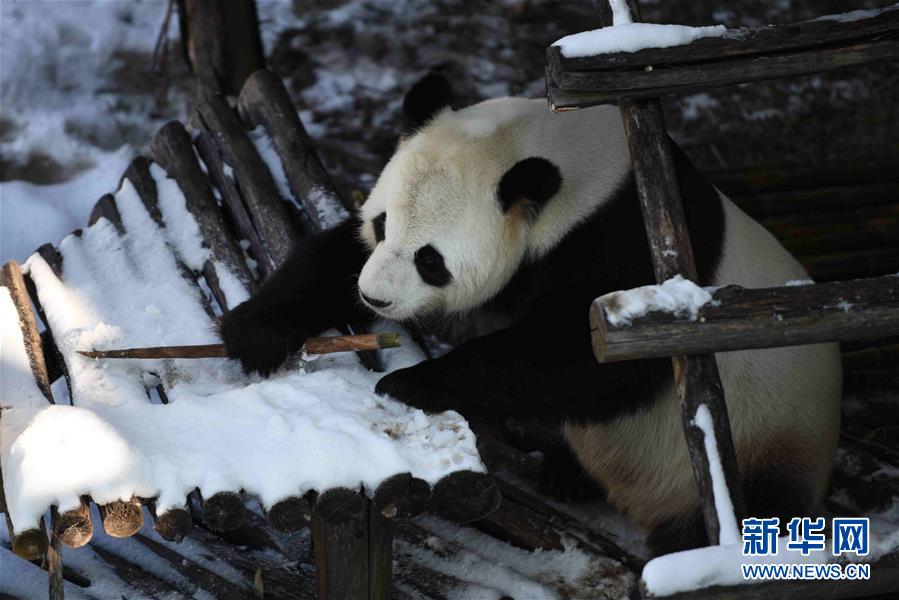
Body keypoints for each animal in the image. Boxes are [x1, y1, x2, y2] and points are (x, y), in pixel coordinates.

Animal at [220, 72, 844, 556]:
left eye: (431, 260)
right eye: (381, 223)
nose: (374, 299)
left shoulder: (625, 240)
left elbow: (591, 359)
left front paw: (414, 382)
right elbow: (337, 258)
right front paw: (256, 332)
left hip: (769, 437)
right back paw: (566, 475)